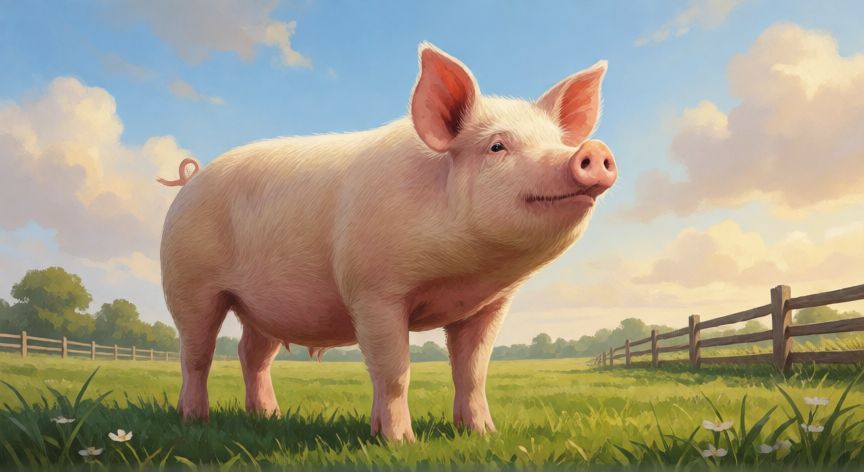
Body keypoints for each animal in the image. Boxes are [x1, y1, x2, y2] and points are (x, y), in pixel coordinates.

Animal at [158, 43, 616, 442]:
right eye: (497, 146)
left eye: (559, 143)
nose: (592, 150)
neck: (464, 274)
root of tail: (191, 180)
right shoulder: (373, 291)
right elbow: (394, 371)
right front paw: (400, 442)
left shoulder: (488, 305)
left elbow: (472, 374)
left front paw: (485, 435)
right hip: (188, 282)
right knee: (195, 355)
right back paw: (195, 420)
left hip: (264, 308)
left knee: (251, 354)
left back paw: (270, 417)